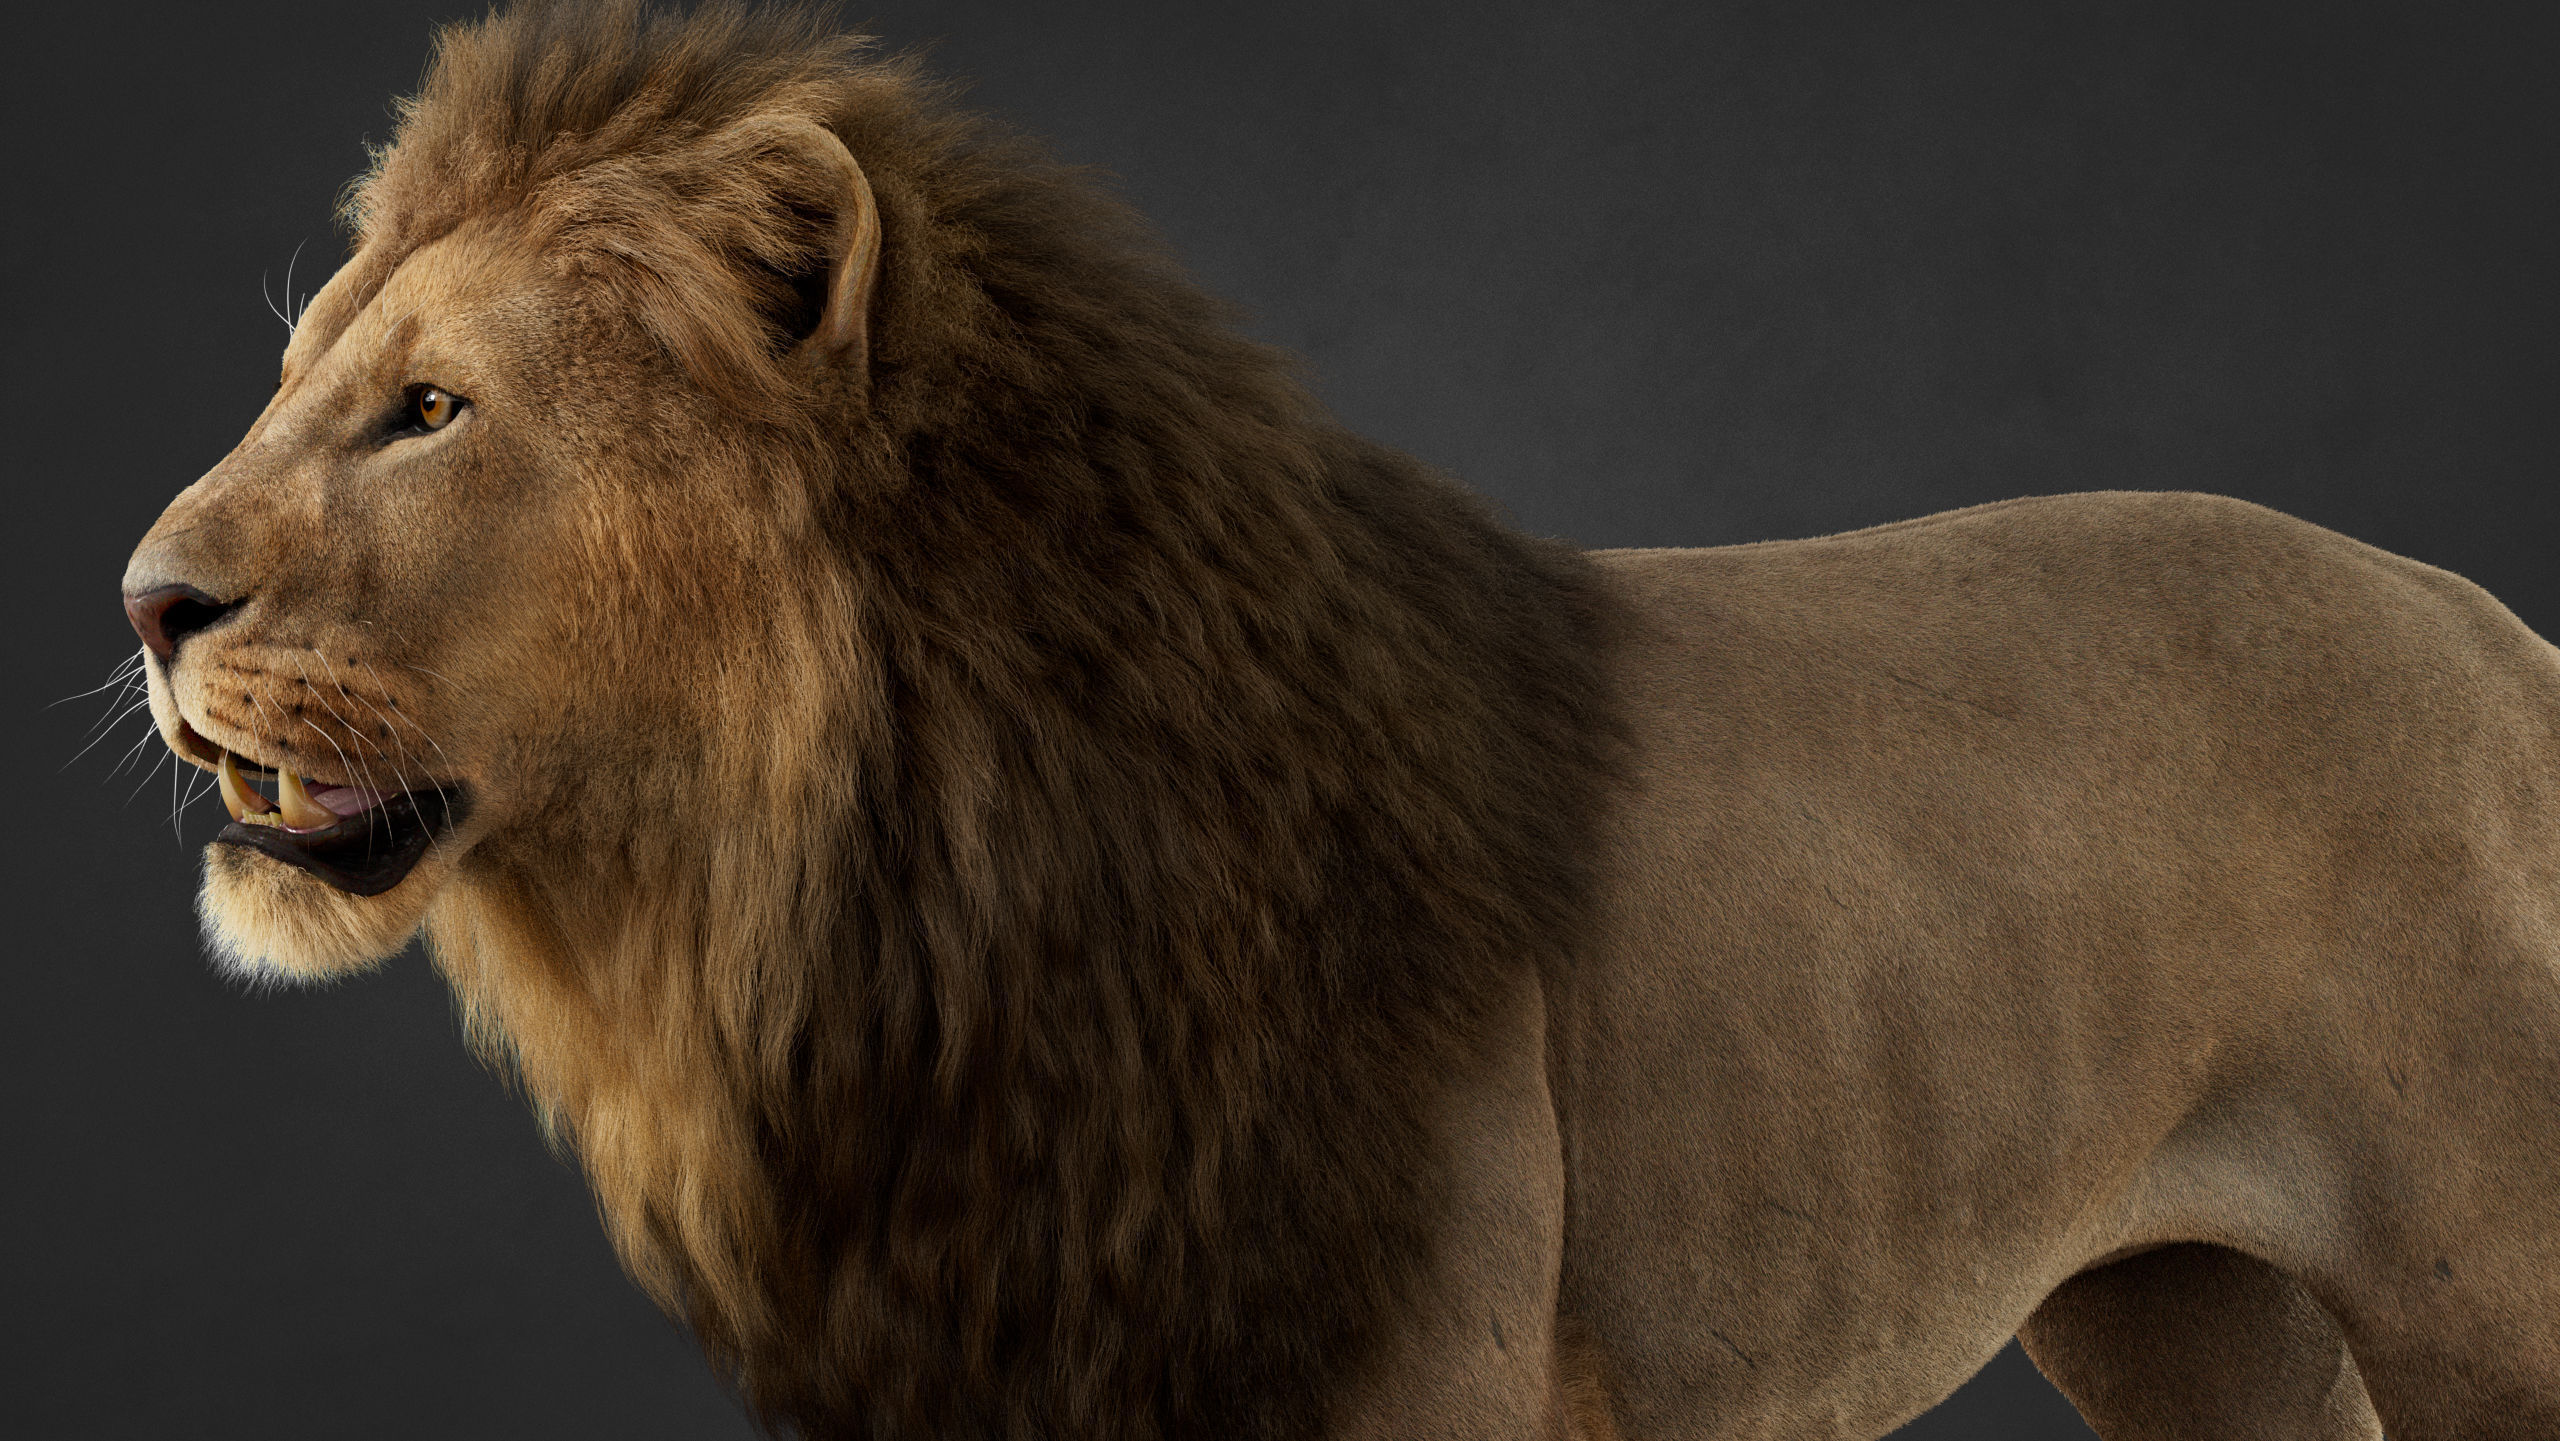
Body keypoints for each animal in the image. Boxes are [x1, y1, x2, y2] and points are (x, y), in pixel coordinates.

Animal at [118, 3, 2560, 1438]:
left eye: (432, 410)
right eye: (301, 369)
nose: (142, 599)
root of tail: (2489, 625)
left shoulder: (1410, 1373)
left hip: (2485, 1300)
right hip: (2191, 1319)